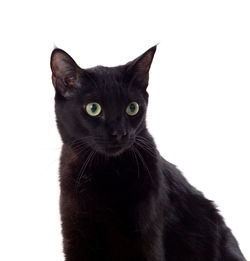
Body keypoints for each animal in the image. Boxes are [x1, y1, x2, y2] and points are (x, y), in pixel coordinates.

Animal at [49, 45, 245, 258]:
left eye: (132, 108)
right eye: (93, 108)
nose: (120, 132)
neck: (108, 173)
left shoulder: (146, 235)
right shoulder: (77, 234)